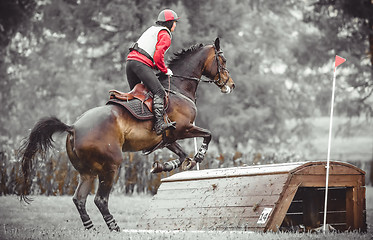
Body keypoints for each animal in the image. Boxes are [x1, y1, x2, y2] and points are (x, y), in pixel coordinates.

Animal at [18, 37, 234, 231]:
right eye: (223, 60)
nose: (231, 85)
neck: (178, 88)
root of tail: (73, 127)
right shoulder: (183, 129)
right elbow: (208, 135)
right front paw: (199, 156)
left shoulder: (168, 138)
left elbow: (181, 156)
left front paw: (163, 166)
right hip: (111, 166)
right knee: (100, 199)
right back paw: (114, 228)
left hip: (87, 172)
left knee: (79, 199)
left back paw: (91, 229)